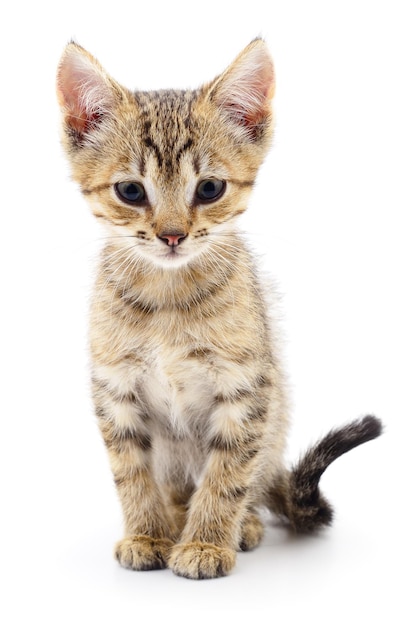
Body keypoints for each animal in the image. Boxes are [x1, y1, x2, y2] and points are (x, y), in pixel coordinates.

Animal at [55, 37, 382, 576]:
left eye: (209, 188)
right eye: (130, 190)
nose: (171, 235)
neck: (167, 299)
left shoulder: (246, 389)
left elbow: (227, 473)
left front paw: (207, 542)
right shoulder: (115, 389)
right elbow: (131, 473)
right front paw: (146, 532)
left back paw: (238, 525)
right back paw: (172, 519)